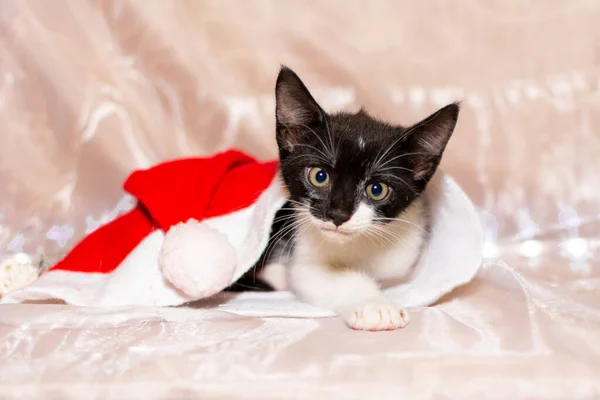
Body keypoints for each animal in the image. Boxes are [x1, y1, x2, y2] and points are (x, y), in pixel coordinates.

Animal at [258, 66, 460, 332]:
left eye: (377, 189)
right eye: (319, 176)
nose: (338, 215)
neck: (357, 245)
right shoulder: (302, 253)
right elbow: (317, 275)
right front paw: (376, 306)